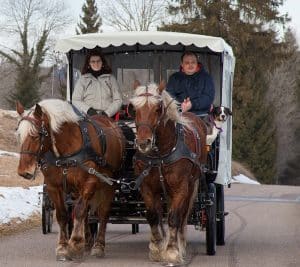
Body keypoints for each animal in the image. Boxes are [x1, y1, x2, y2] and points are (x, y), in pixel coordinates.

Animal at [14, 99, 125, 262]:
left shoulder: (89, 183)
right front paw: (63, 247)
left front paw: (75, 244)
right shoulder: (54, 186)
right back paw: (87, 241)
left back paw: (98, 245)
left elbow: (79, 211)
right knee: (86, 212)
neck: (65, 151)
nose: (23, 171)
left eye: (36, 135)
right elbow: (62, 215)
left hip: (108, 184)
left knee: (102, 213)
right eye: (19, 134)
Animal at [130, 83, 207, 264]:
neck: (160, 155)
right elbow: (153, 216)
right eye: (134, 109)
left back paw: (181, 244)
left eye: (158, 108)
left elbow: (174, 217)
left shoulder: (181, 188)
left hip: (191, 185)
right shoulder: (147, 187)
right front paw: (157, 247)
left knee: (183, 215)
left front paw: (172, 250)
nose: (143, 142)